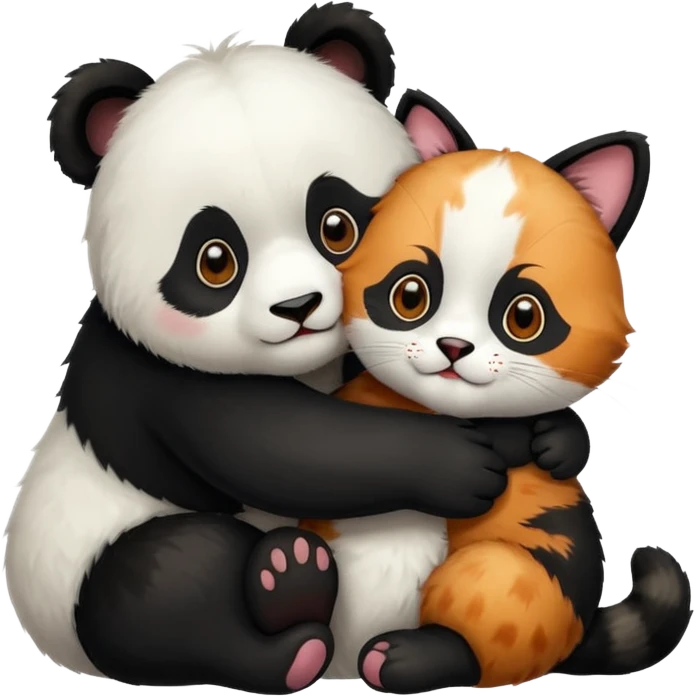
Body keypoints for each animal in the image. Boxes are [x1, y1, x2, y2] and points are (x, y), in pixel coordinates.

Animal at [5, 2, 512, 693]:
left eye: (336, 225)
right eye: (214, 260)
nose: (298, 308)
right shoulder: (155, 376)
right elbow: (279, 446)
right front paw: (460, 462)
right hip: (86, 581)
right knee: (164, 584)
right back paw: (290, 599)